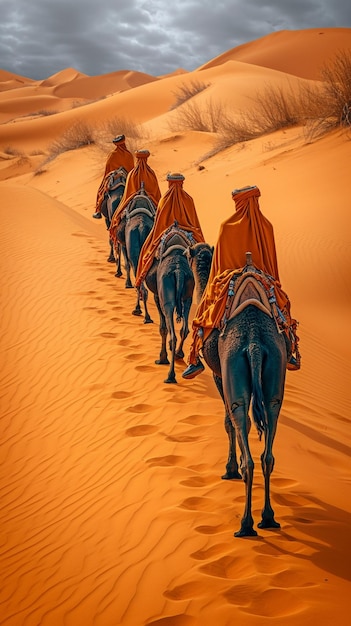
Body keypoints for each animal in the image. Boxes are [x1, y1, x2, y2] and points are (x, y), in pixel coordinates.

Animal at [201, 251, 288, 532]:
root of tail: (253, 344)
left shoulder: (219, 375)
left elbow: (229, 423)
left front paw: (230, 469)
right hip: (274, 375)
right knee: (268, 449)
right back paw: (268, 517)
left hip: (232, 369)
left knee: (238, 418)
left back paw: (245, 523)